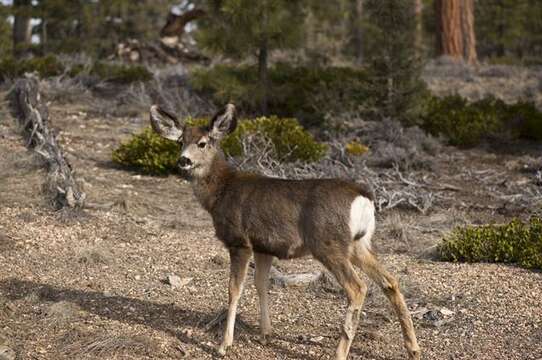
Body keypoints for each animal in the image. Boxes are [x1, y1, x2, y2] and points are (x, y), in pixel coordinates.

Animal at [150, 102, 424, 358]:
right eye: (180, 142)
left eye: (203, 143)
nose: (183, 160)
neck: (220, 192)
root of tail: (364, 198)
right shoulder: (263, 246)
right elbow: (261, 284)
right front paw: (265, 333)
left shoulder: (239, 241)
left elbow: (234, 290)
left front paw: (224, 345)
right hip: (358, 244)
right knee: (390, 281)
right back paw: (413, 348)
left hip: (328, 243)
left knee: (357, 288)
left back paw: (340, 352)